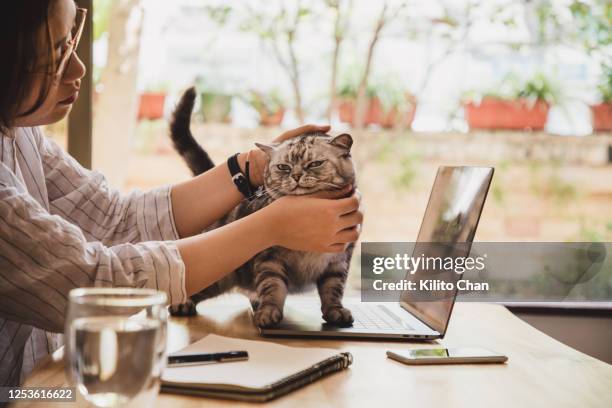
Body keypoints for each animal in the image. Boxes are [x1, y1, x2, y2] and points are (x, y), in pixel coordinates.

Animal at [167, 87, 358, 328]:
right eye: (284, 167)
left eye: (315, 164)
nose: (296, 176)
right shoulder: (269, 260)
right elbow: (272, 287)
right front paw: (268, 313)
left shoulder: (339, 261)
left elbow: (333, 289)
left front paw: (336, 312)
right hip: (217, 274)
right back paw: (184, 304)